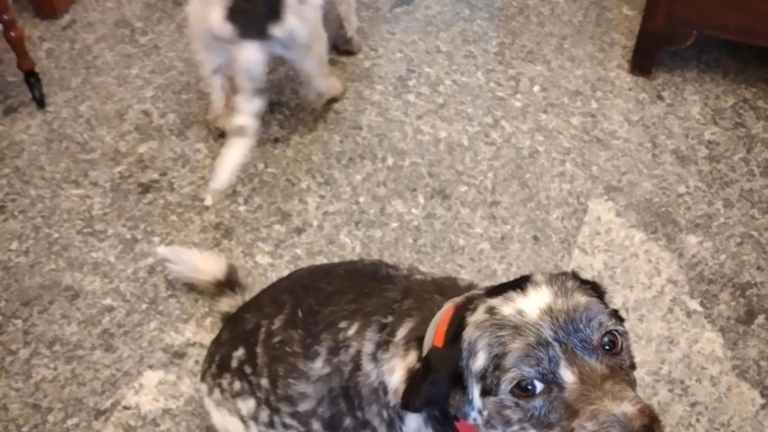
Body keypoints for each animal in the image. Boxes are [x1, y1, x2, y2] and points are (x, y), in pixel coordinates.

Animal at [187, 0, 361, 205]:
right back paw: (334, 91)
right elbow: (349, 15)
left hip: (204, 39)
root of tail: (248, 20)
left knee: (219, 96)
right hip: (309, 36)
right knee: (318, 84)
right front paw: (351, 40)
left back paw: (221, 121)